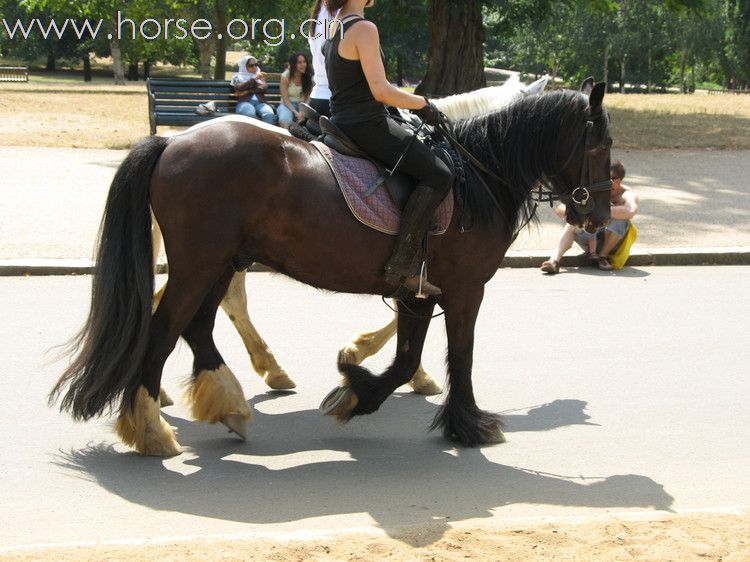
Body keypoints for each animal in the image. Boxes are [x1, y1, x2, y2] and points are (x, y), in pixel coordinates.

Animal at [53, 79, 616, 456]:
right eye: (602, 144)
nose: (599, 216)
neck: (474, 170)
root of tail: (173, 140)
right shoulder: (463, 288)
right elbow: (460, 355)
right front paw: (468, 424)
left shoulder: (418, 289)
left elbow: (407, 357)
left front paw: (357, 386)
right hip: (200, 263)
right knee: (166, 328)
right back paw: (154, 427)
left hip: (219, 262)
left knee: (199, 326)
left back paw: (230, 401)